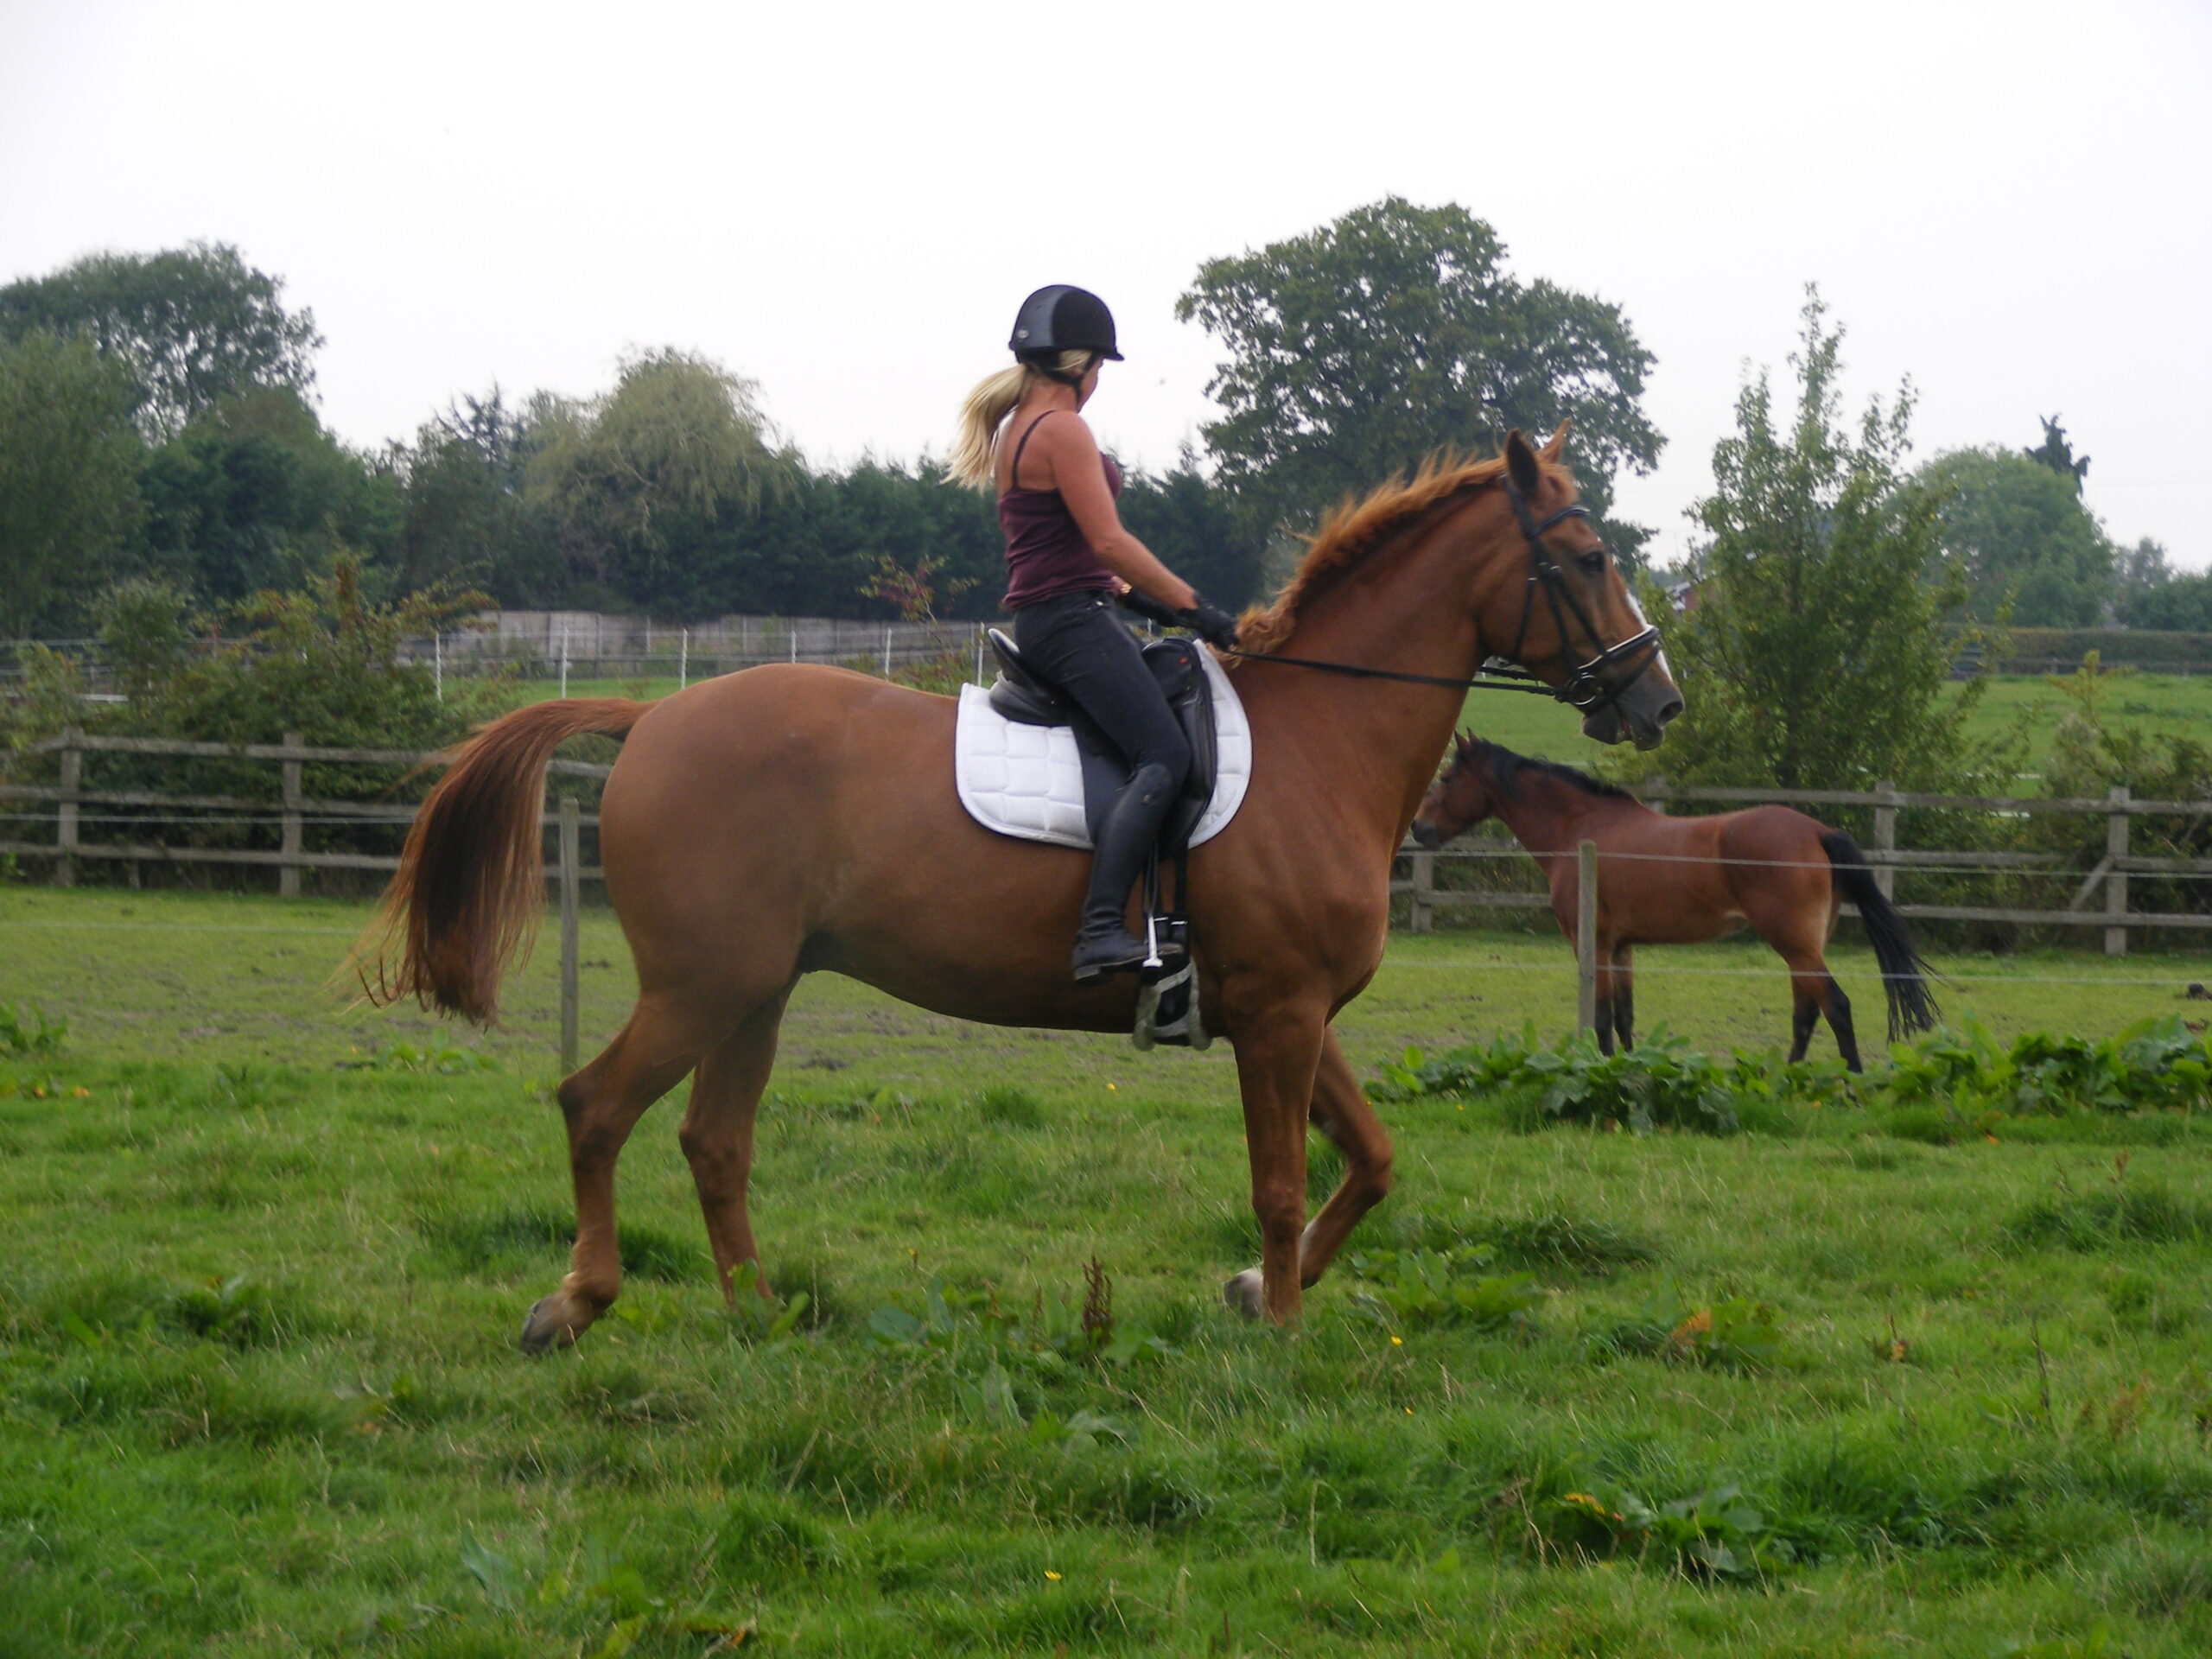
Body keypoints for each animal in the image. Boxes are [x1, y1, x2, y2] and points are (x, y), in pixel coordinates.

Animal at [362, 431, 1672, 1353]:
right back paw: (576, 1303)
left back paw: (759, 1315)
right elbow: (1283, 1180)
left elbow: (1374, 1158)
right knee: (596, 1108)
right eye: (1592, 560)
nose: (1654, 700)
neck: (1321, 733)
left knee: (712, 1140)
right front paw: (1287, 1332)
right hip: (704, 987)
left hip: (754, 995)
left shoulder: (1290, 1013)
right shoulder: (1282, 1018)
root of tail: (653, 717)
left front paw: (1258, 1290)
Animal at [1415, 739, 1937, 1079]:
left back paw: (1853, 1083)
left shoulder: (1593, 944)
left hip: (1796, 946)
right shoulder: (1621, 948)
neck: (1579, 827)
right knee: (1806, 1014)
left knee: (1836, 1006)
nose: (1419, 829)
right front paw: (1627, 1069)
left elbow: (1601, 1019)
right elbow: (1624, 1018)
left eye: (1447, 777)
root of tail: (1817, 830)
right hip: (1802, 949)